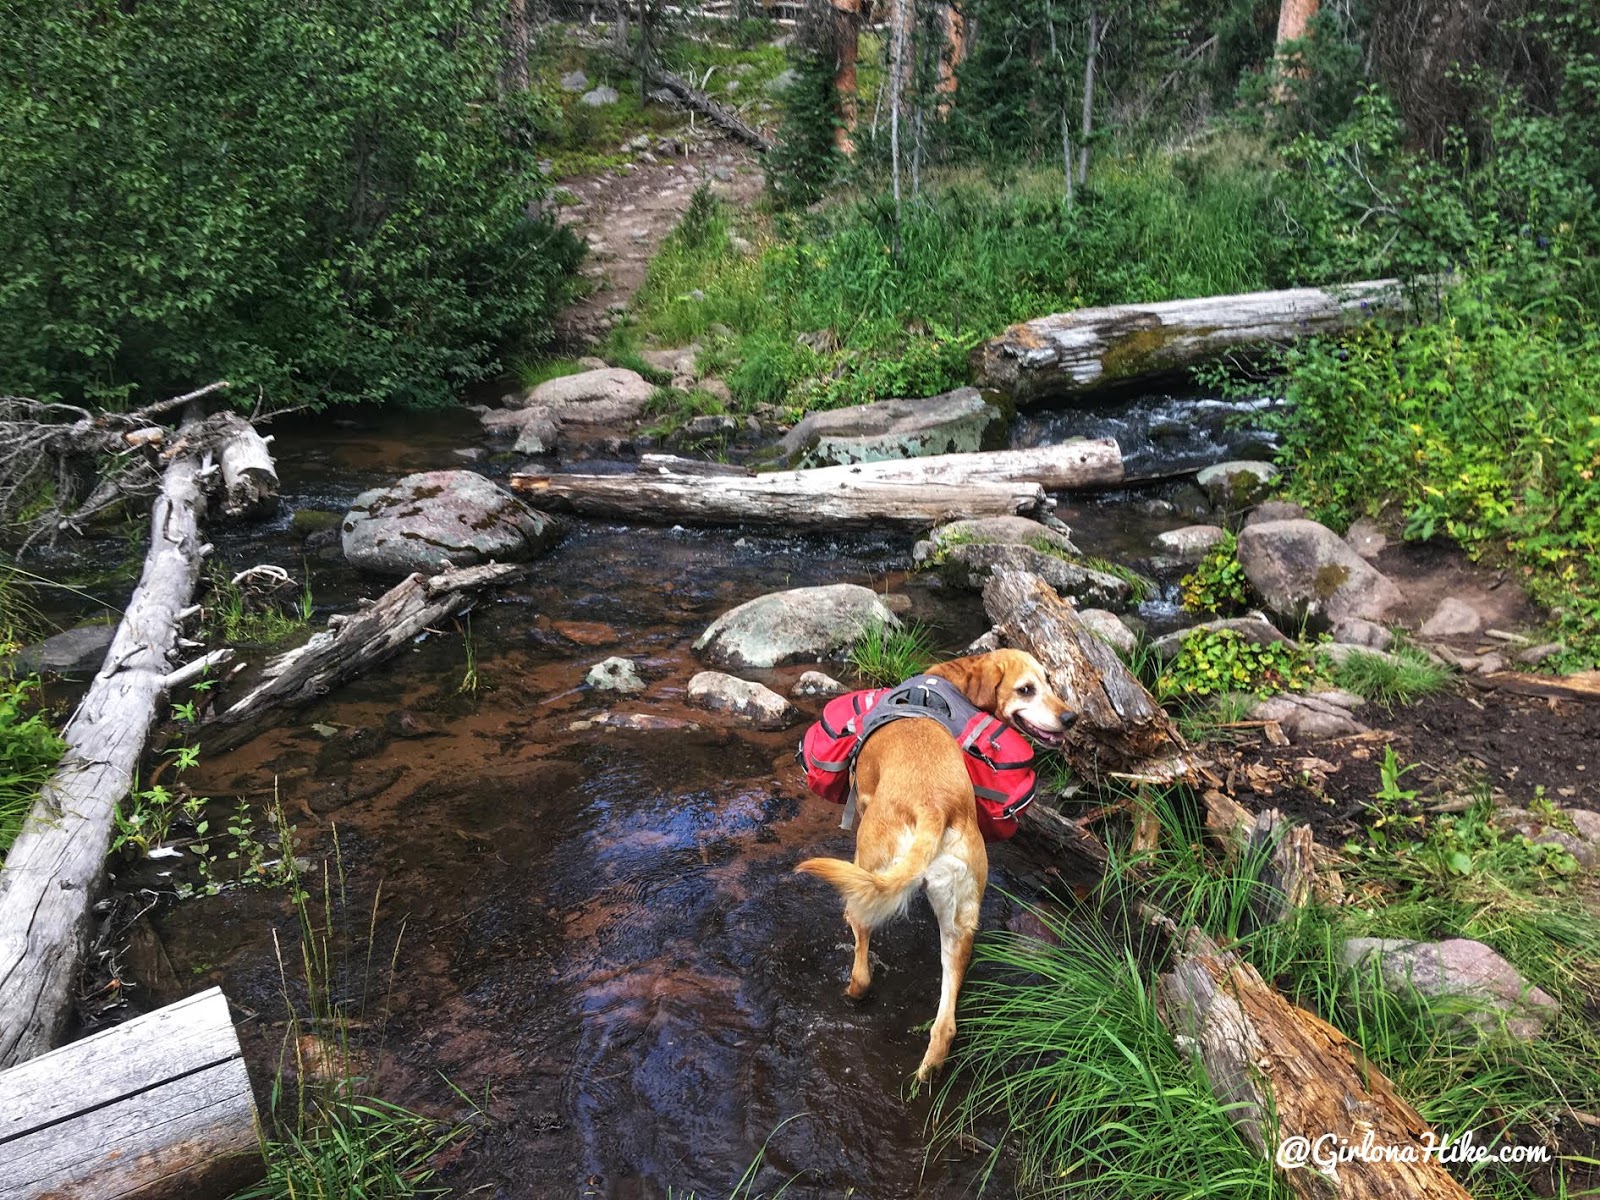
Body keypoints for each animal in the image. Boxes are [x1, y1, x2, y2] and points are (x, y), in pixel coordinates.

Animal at [790, 652, 1068, 1088]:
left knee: (862, 960)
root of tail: (935, 806)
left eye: (1047, 684)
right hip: (961, 921)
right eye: (1029, 688)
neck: (952, 681)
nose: (1070, 717)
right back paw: (929, 1069)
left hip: (869, 858)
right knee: (946, 1024)